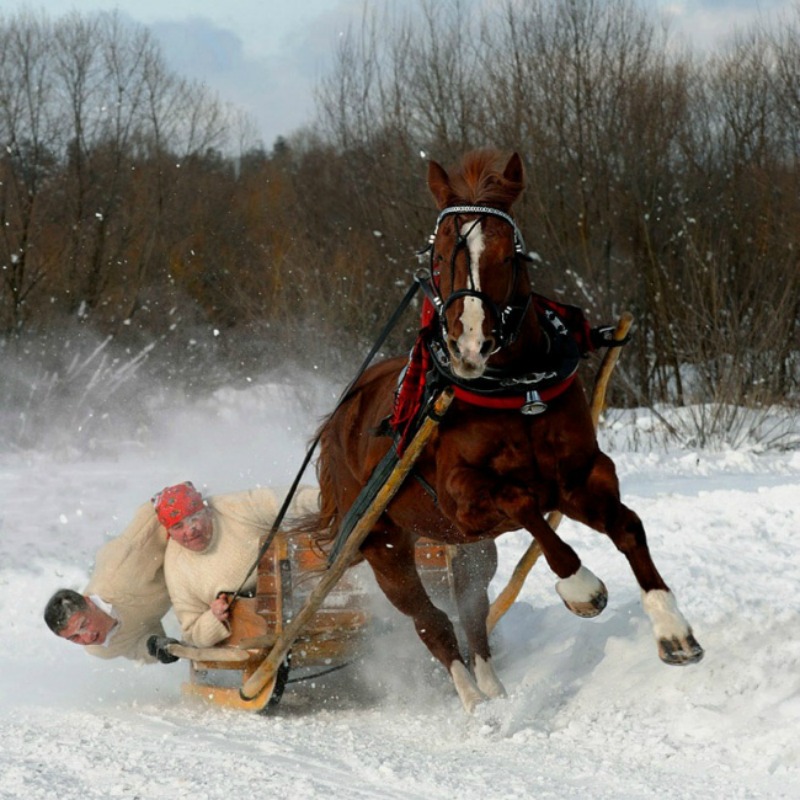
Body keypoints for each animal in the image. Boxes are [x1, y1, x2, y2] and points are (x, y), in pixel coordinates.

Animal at [310, 150, 704, 712]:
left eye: (509, 254)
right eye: (440, 254)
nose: (470, 344)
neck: (518, 391)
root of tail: (340, 415)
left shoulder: (580, 476)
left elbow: (628, 527)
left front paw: (673, 629)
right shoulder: (463, 499)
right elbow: (523, 505)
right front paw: (581, 588)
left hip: (465, 548)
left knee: (472, 613)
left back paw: (493, 689)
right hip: (383, 543)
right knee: (432, 623)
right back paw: (474, 702)